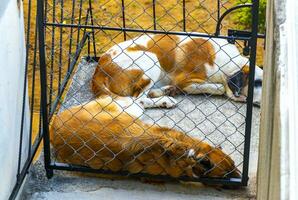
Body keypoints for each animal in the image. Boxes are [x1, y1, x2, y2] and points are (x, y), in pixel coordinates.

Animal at [91, 34, 264, 109]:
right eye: (258, 82)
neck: (230, 62)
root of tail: (99, 70)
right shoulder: (185, 79)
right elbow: (219, 87)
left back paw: (163, 92)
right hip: (151, 58)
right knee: (137, 99)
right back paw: (165, 100)